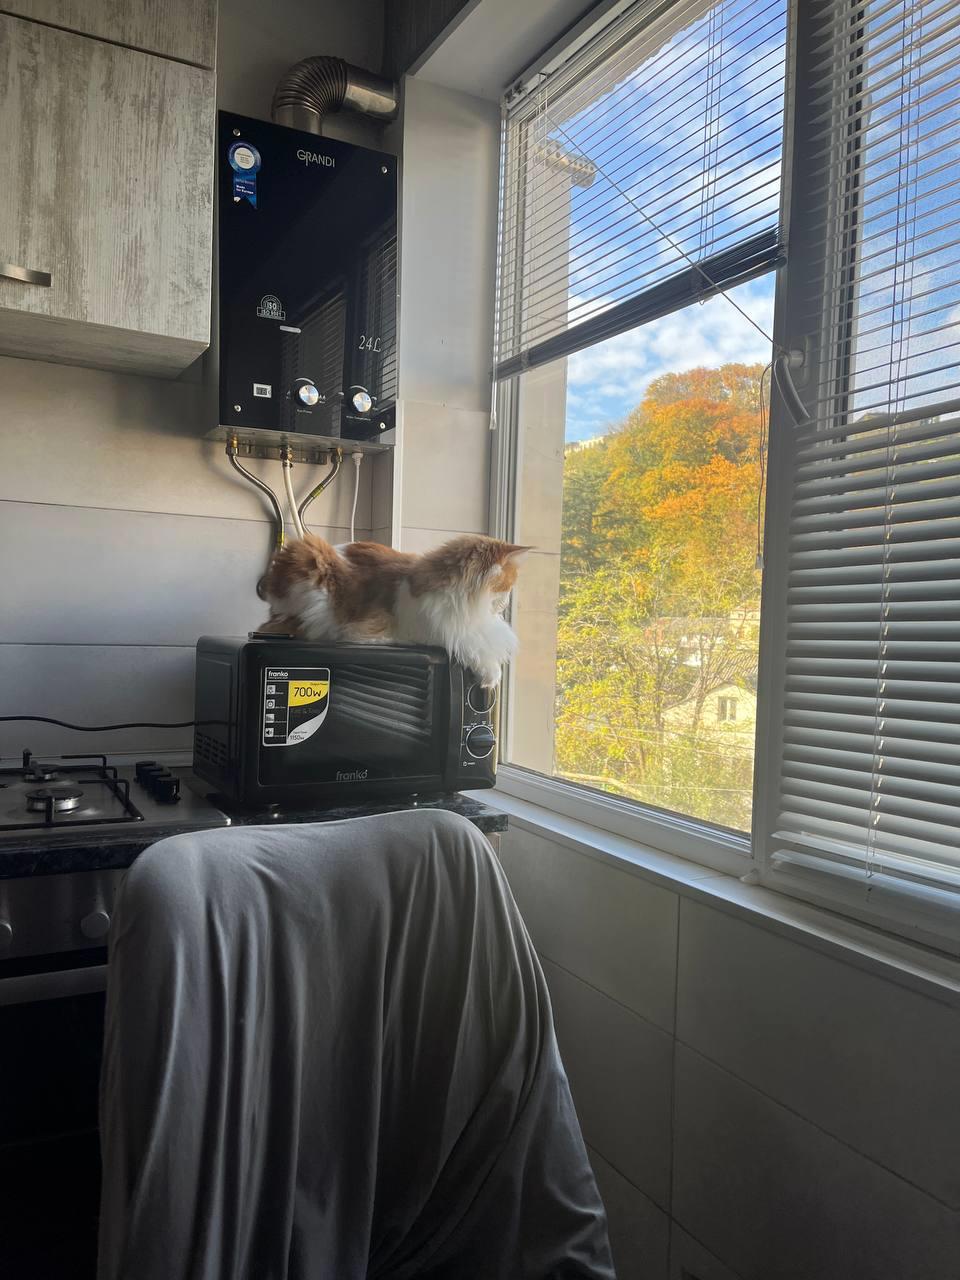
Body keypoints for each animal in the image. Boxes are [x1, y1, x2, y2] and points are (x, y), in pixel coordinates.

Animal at [261, 533, 530, 687]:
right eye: (507, 586)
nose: (505, 605)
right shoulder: (434, 631)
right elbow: (470, 644)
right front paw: (492, 674)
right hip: (313, 567)